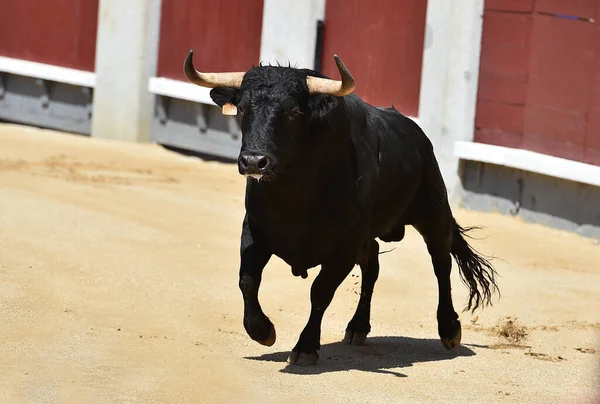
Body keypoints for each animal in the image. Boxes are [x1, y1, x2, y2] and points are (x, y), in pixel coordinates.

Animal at [185, 50, 500, 366]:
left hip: (434, 213)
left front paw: (306, 347)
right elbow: (248, 281)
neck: (293, 194)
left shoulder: (344, 246)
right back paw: (358, 327)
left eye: (294, 112)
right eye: (242, 109)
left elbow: (320, 292)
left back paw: (449, 329)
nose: (253, 161)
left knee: (441, 264)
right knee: (373, 264)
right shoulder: (254, 230)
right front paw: (262, 331)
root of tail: (416, 133)